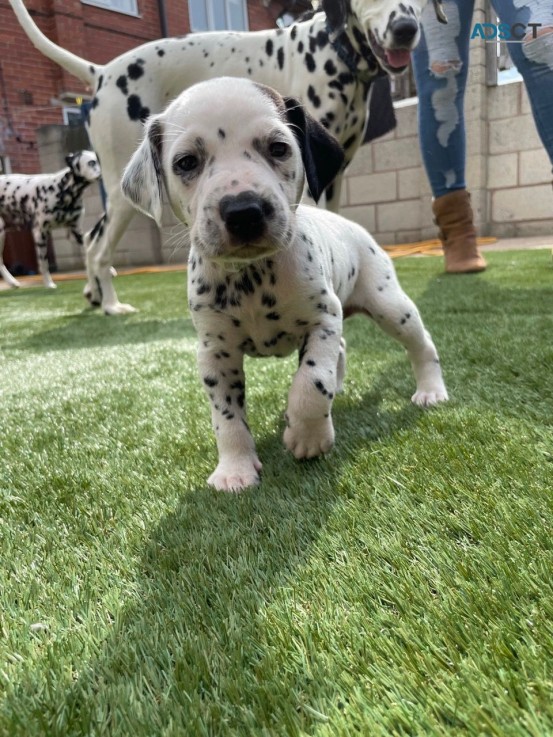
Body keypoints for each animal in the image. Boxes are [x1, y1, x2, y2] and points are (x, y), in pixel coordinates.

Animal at [0, 150, 101, 288]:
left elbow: (90, 252)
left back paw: (12, 282)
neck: (62, 189)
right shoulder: (40, 234)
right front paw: (48, 283)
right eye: (91, 162)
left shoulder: (76, 232)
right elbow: (44, 264)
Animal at [122, 77, 448, 492]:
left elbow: (311, 382)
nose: (243, 211)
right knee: (343, 350)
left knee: (421, 344)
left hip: (391, 306)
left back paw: (430, 390)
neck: (253, 277)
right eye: (186, 162)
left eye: (278, 148)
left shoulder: (322, 320)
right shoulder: (215, 351)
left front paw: (308, 436)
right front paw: (234, 469)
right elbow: (226, 416)